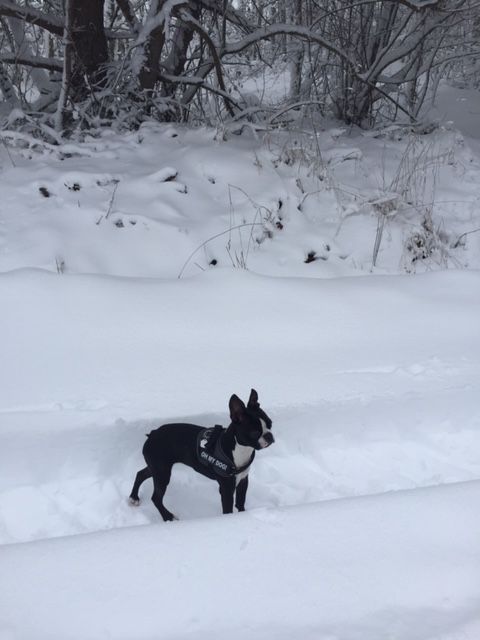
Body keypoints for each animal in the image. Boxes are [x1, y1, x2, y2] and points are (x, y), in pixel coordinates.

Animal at [129, 390, 274, 520]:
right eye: (255, 432)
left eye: (270, 423)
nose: (269, 436)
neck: (240, 448)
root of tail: (152, 434)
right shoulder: (226, 488)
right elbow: (228, 509)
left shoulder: (243, 480)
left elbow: (240, 502)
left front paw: (243, 515)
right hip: (162, 472)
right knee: (156, 498)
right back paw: (168, 517)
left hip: (157, 467)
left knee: (141, 474)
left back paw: (134, 497)